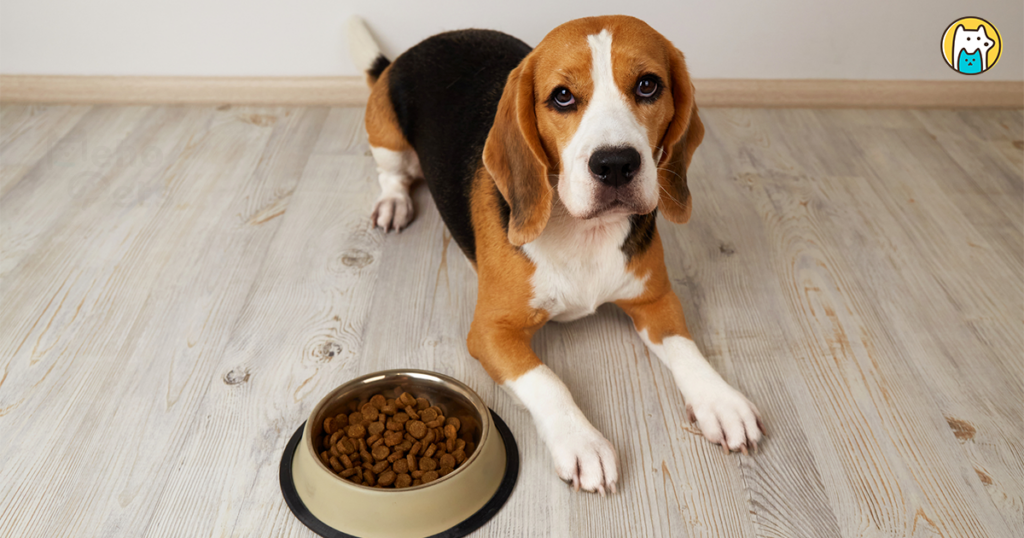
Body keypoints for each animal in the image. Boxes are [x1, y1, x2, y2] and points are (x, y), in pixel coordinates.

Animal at [350, 14, 761, 493]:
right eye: (562, 96)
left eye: (648, 86)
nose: (615, 164)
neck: (586, 232)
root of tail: (410, 51)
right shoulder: (490, 332)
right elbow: (547, 380)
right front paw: (582, 442)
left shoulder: (656, 299)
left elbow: (686, 348)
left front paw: (721, 400)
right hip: (387, 138)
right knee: (393, 175)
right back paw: (393, 203)